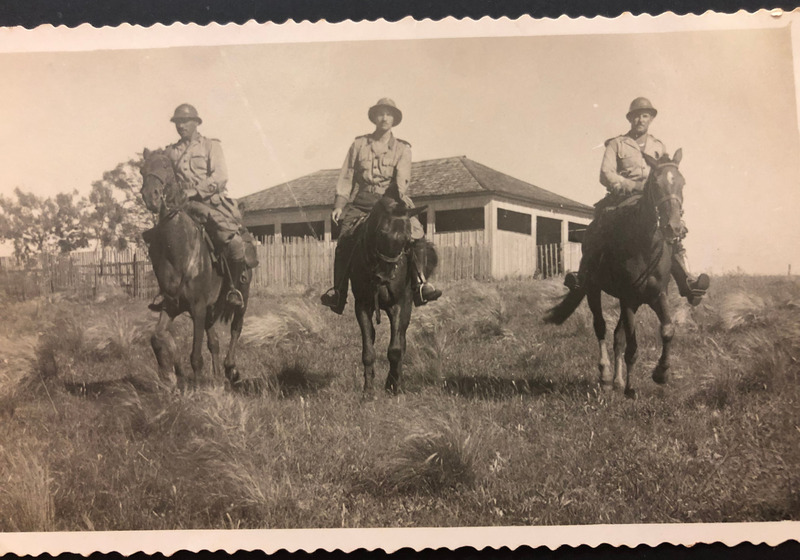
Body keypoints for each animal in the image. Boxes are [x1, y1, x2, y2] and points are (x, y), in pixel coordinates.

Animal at [139, 148, 250, 391]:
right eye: (142, 170)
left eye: (165, 165)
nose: (150, 196)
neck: (178, 248)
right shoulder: (172, 305)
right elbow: (157, 338)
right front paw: (169, 373)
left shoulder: (197, 307)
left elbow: (196, 356)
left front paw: (198, 388)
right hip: (210, 309)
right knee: (214, 342)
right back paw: (218, 377)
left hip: (242, 298)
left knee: (235, 329)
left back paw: (231, 369)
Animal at [348, 196, 437, 395]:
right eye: (381, 233)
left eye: (407, 240)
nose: (384, 277)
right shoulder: (362, 305)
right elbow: (368, 350)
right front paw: (368, 391)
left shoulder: (399, 305)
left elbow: (395, 349)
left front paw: (394, 386)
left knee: (401, 342)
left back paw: (396, 381)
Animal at [544, 149, 687, 398]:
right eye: (656, 184)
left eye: (682, 183)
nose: (674, 228)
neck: (644, 246)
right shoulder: (628, 298)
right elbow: (632, 345)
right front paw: (631, 388)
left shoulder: (656, 295)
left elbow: (667, 329)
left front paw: (661, 373)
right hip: (593, 290)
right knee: (601, 327)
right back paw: (606, 377)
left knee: (617, 337)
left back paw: (618, 380)